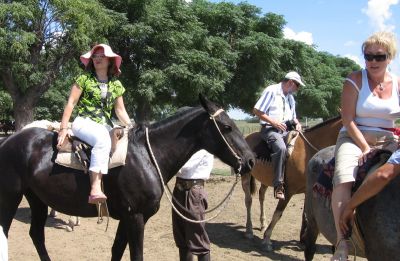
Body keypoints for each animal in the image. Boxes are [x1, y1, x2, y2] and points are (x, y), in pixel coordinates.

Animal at [0, 95, 255, 260]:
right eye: (226, 126)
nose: (251, 161)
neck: (146, 156)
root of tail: (8, 140)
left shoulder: (127, 218)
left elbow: (117, 251)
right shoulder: (136, 218)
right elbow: (135, 255)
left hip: (37, 199)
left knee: (37, 235)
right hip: (10, 197)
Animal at [239, 116, 342, 250]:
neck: (308, 152)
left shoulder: (307, 191)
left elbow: (306, 214)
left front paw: (303, 238)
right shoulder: (287, 191)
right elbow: (278, 214)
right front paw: (267, 239)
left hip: (265, 179)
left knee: (261, 196)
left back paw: (263, 224)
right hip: (246, 176)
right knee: (248, 200)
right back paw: (249, 230)